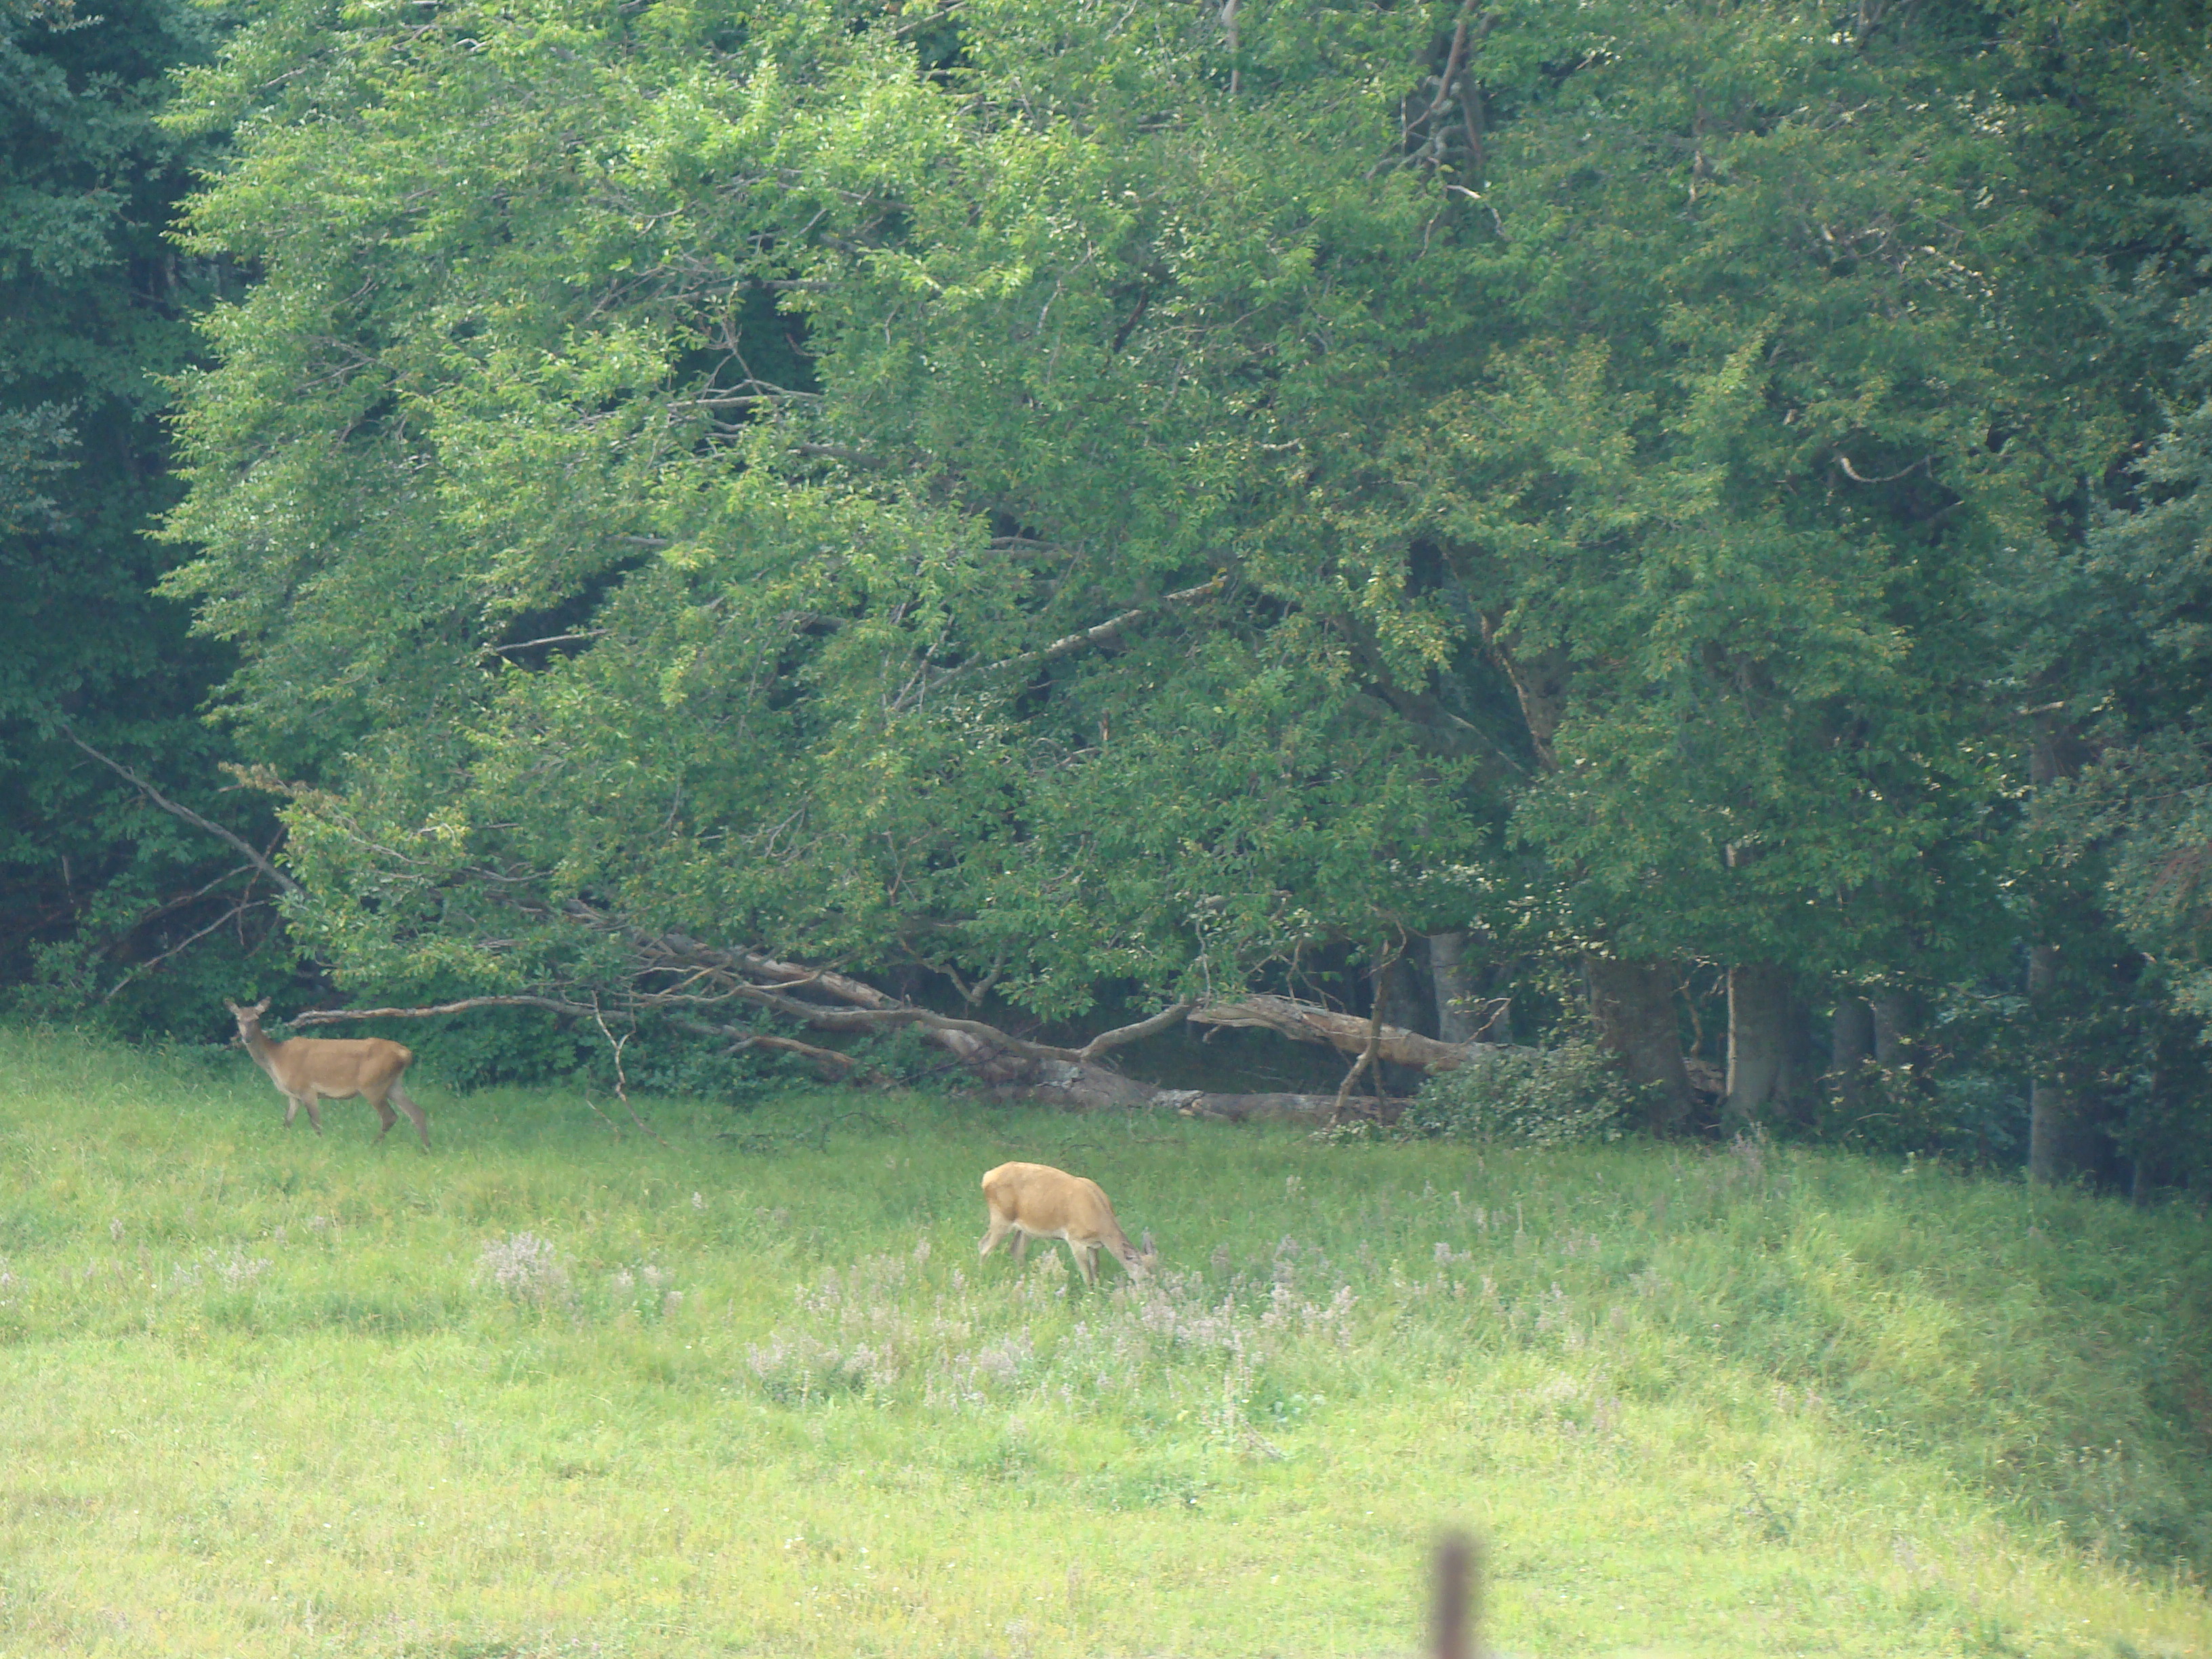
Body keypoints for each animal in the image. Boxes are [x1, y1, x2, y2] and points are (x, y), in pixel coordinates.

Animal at [225, 998, 430, 1149]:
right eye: (238, 1019)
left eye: (256, 1018)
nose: (246, 1038)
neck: (275, 1060)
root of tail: (406, 1054)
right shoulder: (293, 1096)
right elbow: (287, 1123)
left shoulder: (307, 1089)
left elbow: (316, 1123)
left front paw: (321, 1146)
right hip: (394, 1084)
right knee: (417, 1112)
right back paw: (427, 1148)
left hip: (372, 1084)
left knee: (390, 1116)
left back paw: (373, 1146)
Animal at [978, 1161, 1156, 1286]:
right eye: (1147, 1277)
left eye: (1157, 1272)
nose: (1153, 1294)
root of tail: (986, 1177)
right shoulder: (1075, 1239)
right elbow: (1087, 1274)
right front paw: (1091, 1297)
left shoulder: (1095, 1244)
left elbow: (1095, 1268)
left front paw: (1099, 1290)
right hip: (1001, 1216)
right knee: (984, 1246)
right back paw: (984, 1276)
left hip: (1026, 1227)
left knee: (1016, 1249)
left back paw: (1025, 1279)